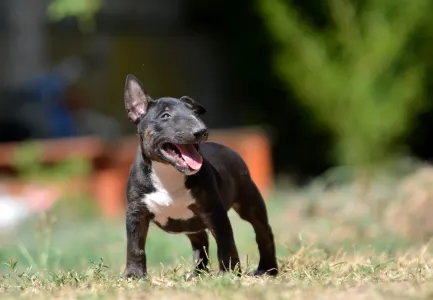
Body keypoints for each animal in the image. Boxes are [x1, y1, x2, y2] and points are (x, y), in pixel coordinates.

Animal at [121, 74, 278, 278]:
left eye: (195, 114)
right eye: (165, 116)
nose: (201, 131)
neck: (168, 172)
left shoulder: (214, 211)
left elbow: (226, 242)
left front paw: (229, 272)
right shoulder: (136, 213)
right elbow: (135, 246)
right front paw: (134, 274)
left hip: (249, 201)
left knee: (263, 232)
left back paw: (267, 268)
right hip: (191, 222)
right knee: (200, 240)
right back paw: (197, 272)